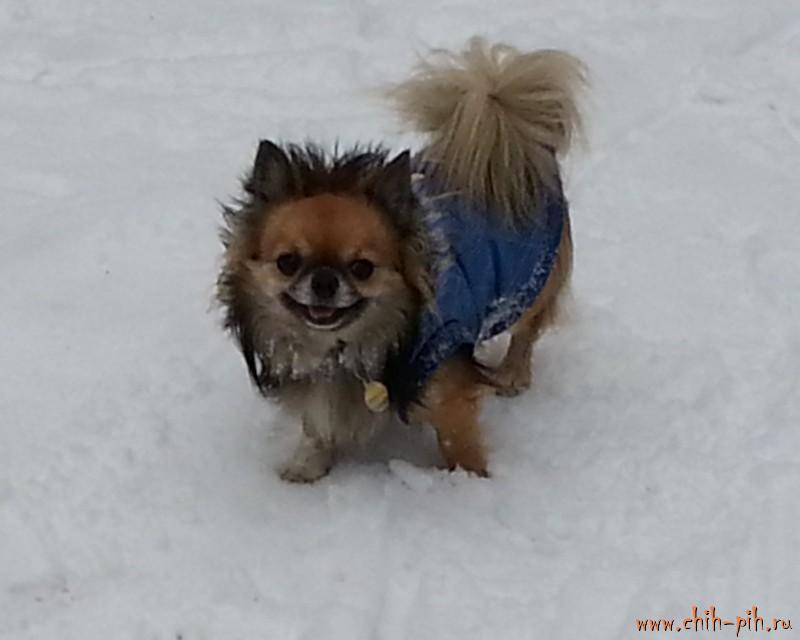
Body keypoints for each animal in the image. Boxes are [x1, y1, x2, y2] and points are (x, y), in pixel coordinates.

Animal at [217, 38, 584, 482]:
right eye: (288, 261)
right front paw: (308, 466)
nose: (324, 281)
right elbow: (318, 426)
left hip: (527, 284)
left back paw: (513, 374)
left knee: (527, 330)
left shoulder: (446, 385)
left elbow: (458, 441)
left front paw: (470, 482)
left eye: (362, 267)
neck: (341, 351)